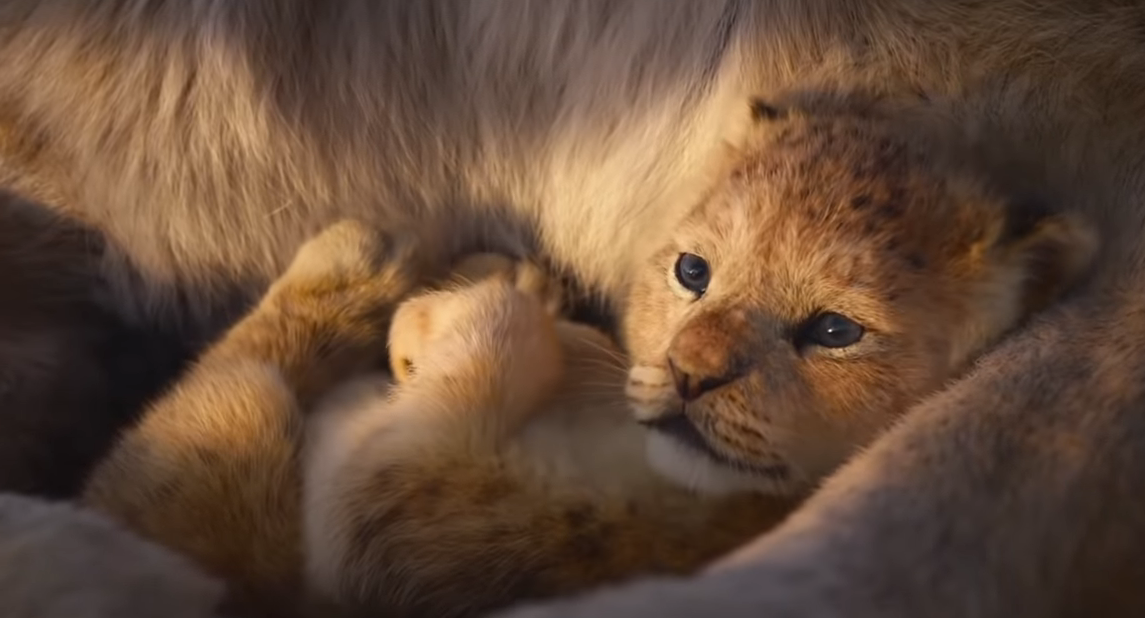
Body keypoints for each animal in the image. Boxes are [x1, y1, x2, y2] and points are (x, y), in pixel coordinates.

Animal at [3, 1, 1145, 616]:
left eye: (833, 331)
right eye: (693, 271)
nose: (688, 373)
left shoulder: (399, 516)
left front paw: (479, 299)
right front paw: (462, 300)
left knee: (226, 398)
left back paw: (365, 258)